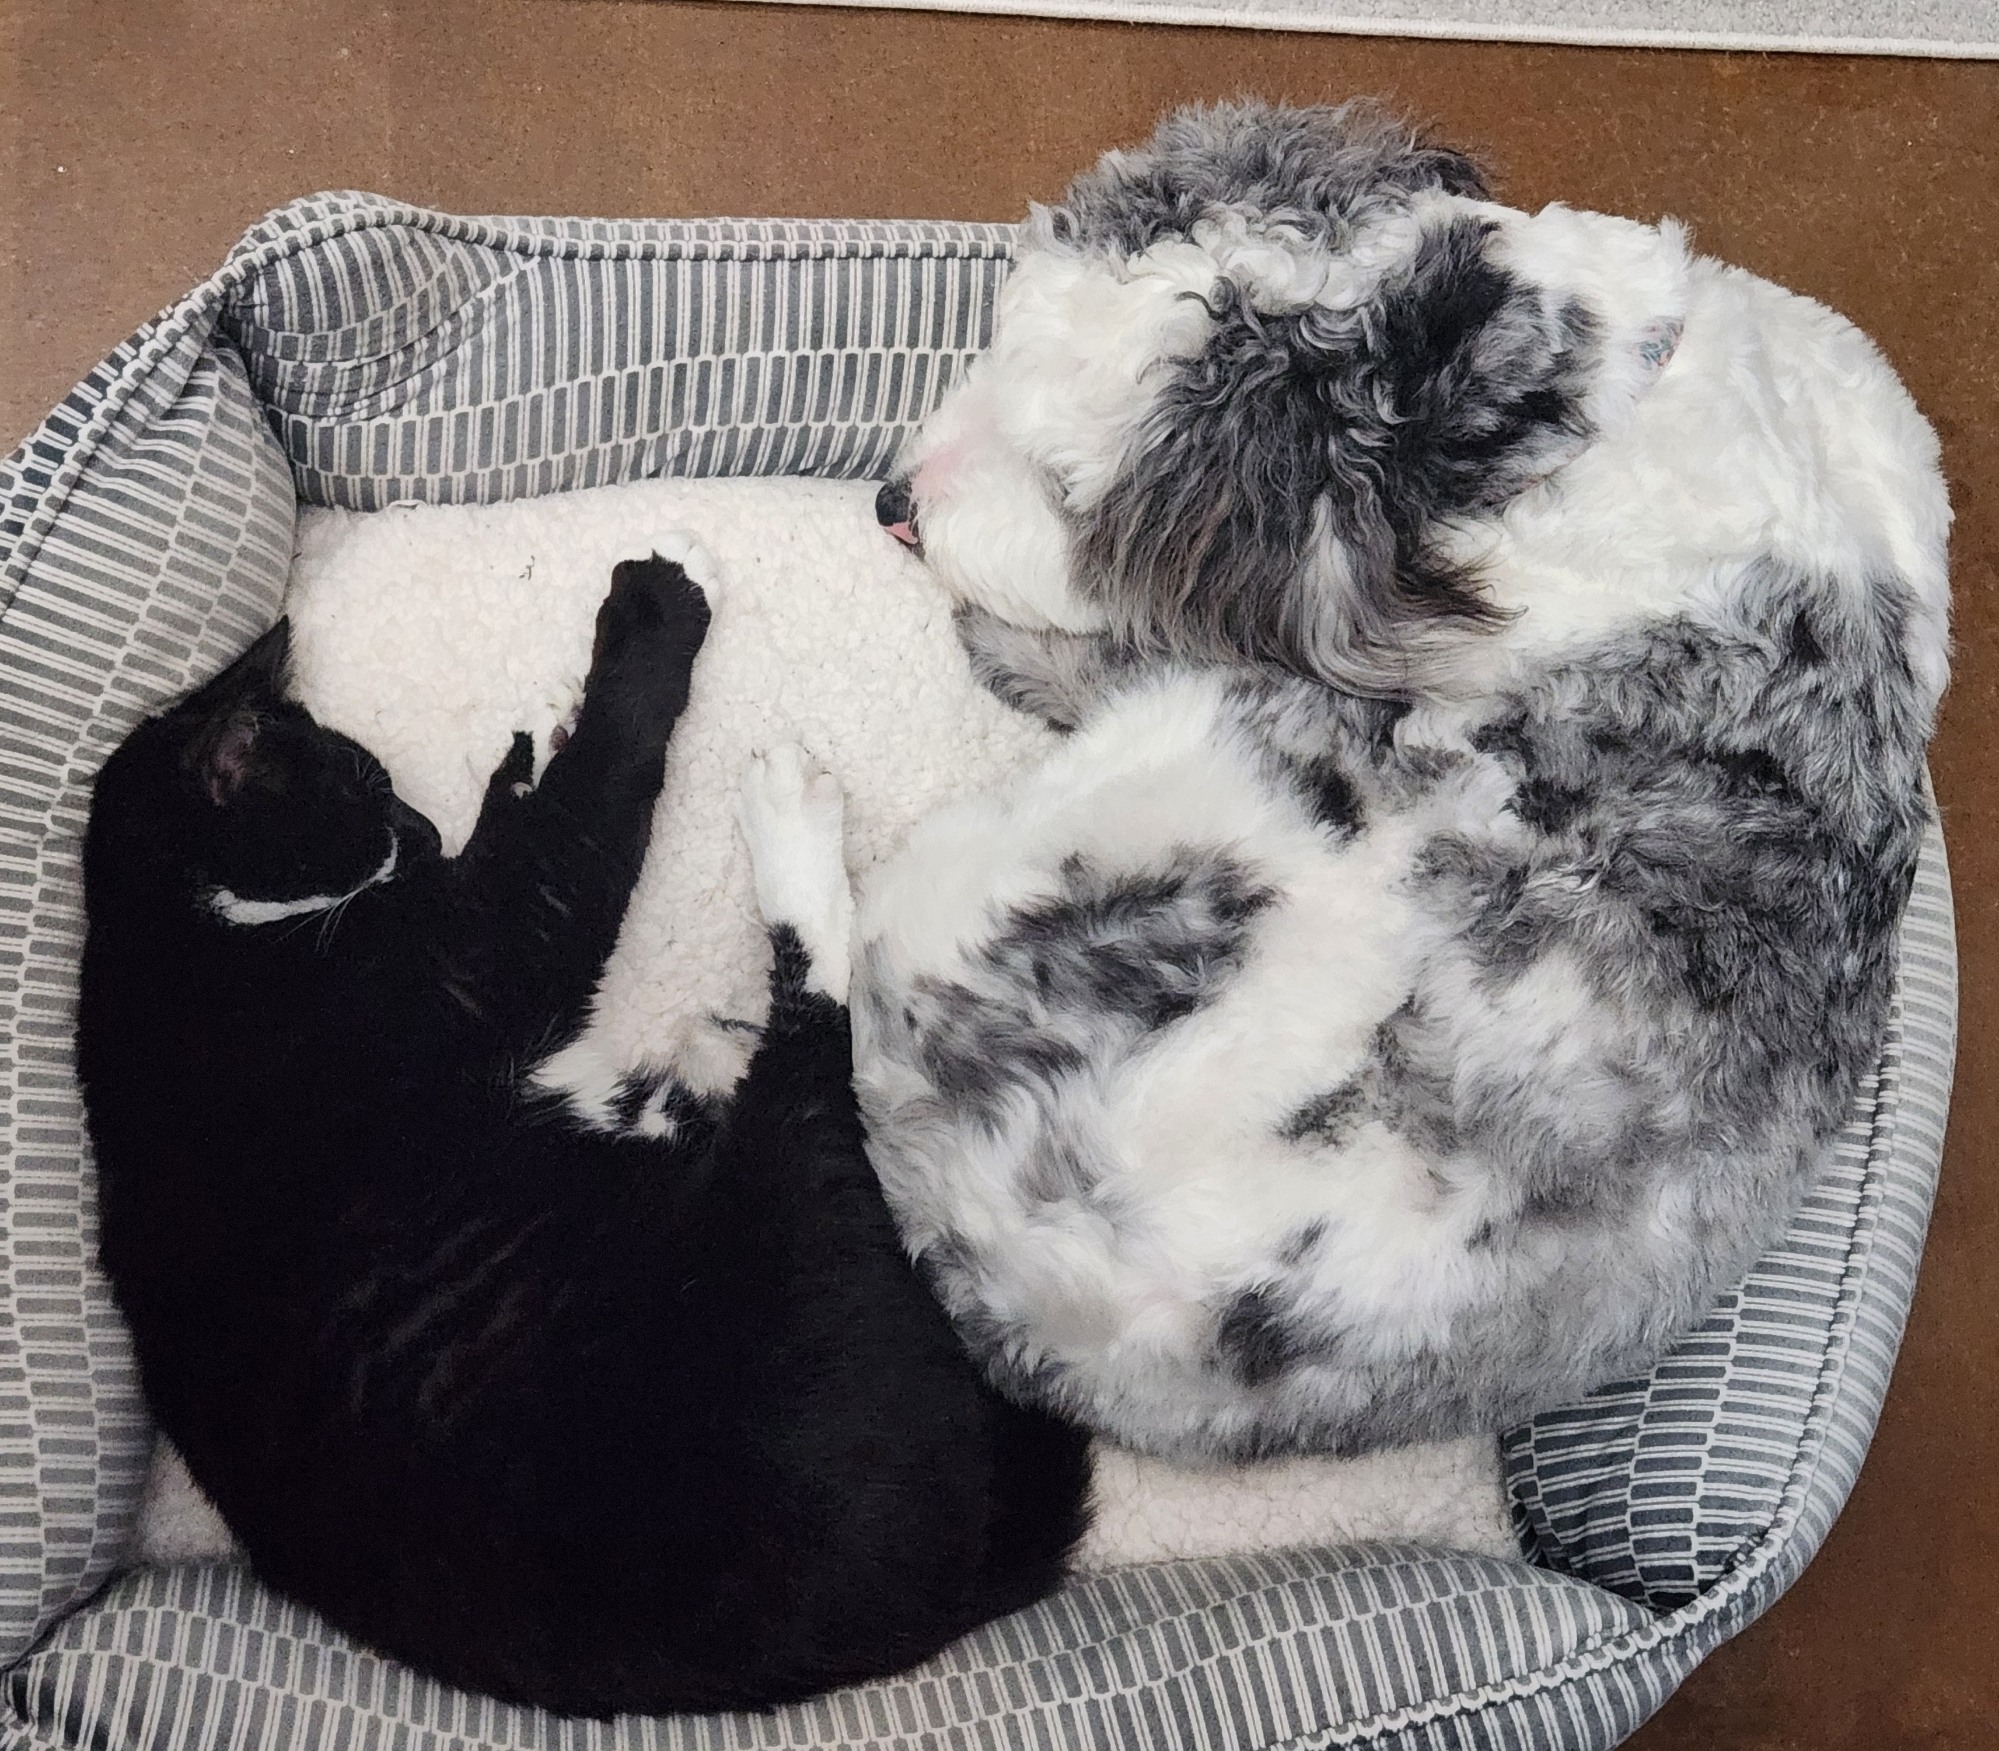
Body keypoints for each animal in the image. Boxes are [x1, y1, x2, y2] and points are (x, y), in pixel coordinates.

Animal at [78, 549, 1089, 1719]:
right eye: (367, 794)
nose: (425, 832)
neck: (175, 945)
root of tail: (932, 1600)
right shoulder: (488, 943)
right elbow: (583, 818)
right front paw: (649, 614)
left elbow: (541, 813)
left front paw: (521, 760)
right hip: (796, 1213)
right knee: (817, 1034)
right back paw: (783, 837)